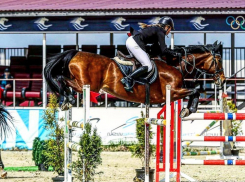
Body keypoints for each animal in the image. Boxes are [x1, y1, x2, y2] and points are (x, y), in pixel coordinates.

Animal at [43, 41, 226, 116]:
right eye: (218, 60)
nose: (222, 80)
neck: (175, 65)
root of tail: (75, 53)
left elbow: (194, 91)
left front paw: (187, 110)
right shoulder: (173, 92)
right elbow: (195, 91)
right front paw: (188, 110)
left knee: (63, 80)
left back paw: (65, 99)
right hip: (86, 85)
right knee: (62, 79)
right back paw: (66, 98)